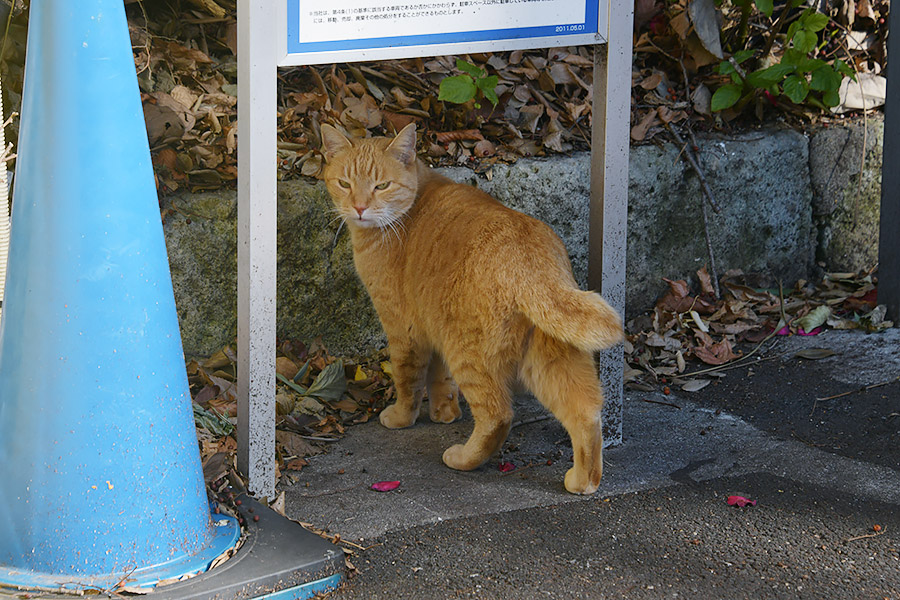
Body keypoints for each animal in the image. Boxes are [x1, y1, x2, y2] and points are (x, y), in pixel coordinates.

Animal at [320, 122, 624, 492]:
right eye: (345, 184)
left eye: (381, 186)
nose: (360, 208)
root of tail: (527, 255)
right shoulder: (432, 322)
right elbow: (440, 378)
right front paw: (444, 413)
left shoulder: (404, 329)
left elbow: (408, 381)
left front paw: (402, 417)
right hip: (550, 356)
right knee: (585, 411)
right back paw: (583, 480)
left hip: (468, 352)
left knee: (498, 415)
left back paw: (463, 458)